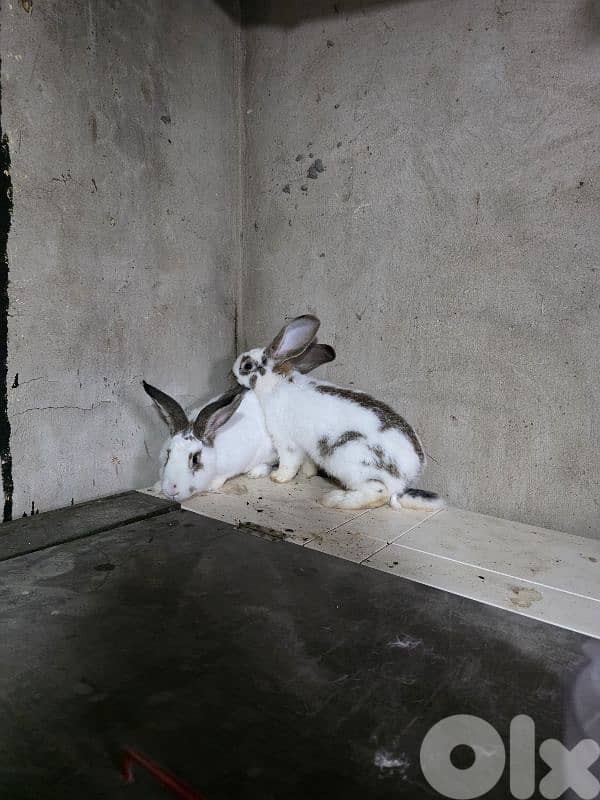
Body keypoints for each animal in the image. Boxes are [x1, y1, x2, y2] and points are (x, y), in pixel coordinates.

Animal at [142, 381, 277, 502]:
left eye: (195, 459)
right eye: (168, 455)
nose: (172, 490)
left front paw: (212, 486)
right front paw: (157, 486)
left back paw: (254, 473)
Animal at [232, 315, 444, 512]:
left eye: (247, 365)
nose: (233, 368)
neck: (276, 384)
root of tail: (411, 472)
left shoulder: (286, 441)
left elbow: (289, 462)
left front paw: (277, 477)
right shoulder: (306, 447)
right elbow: (308, 462)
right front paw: (307, 474)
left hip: (353, 461)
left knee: (379, 492)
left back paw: (335, 499)